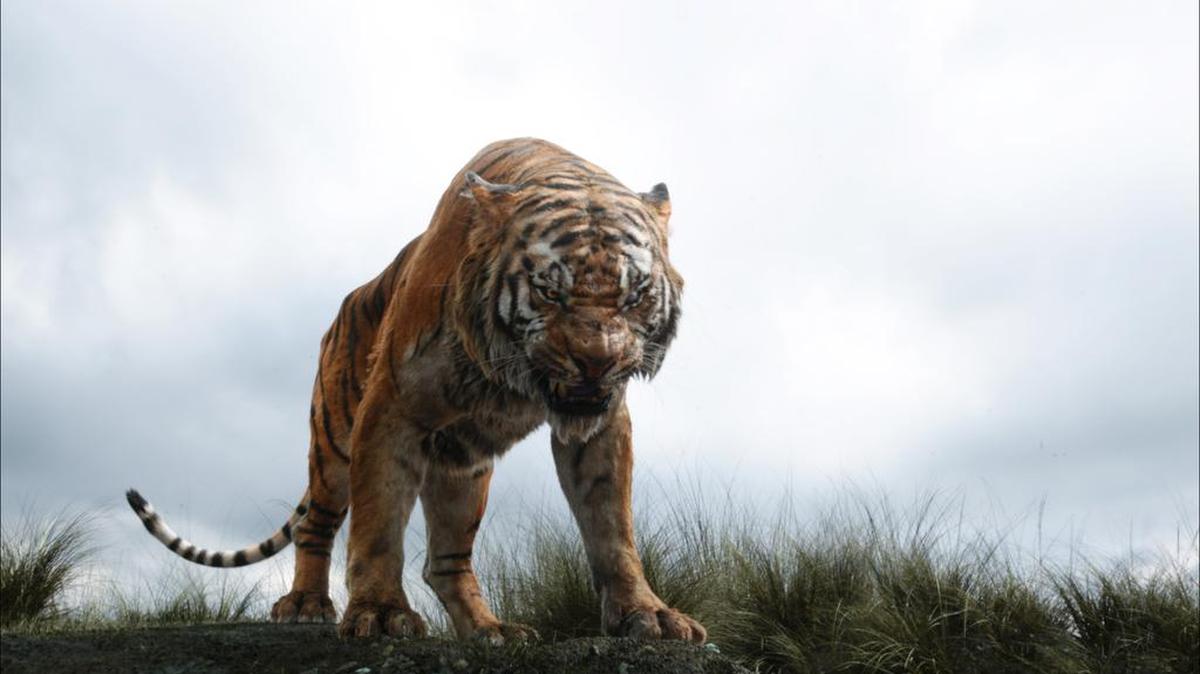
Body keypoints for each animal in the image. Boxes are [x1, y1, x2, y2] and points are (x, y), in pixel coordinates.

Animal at [126, 137, 704, 643]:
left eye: (635, 295)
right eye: (548, 290)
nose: (597, 359)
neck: (509, 377)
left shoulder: (600, 425)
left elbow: (612, 527)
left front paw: (648, 616)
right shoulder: (391, 408)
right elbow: (380, 522)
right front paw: (381, 614)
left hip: (463, 462)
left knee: (446, 561)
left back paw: (490, 629)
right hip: (333, 442)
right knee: (318, 524)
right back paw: (306, 605)